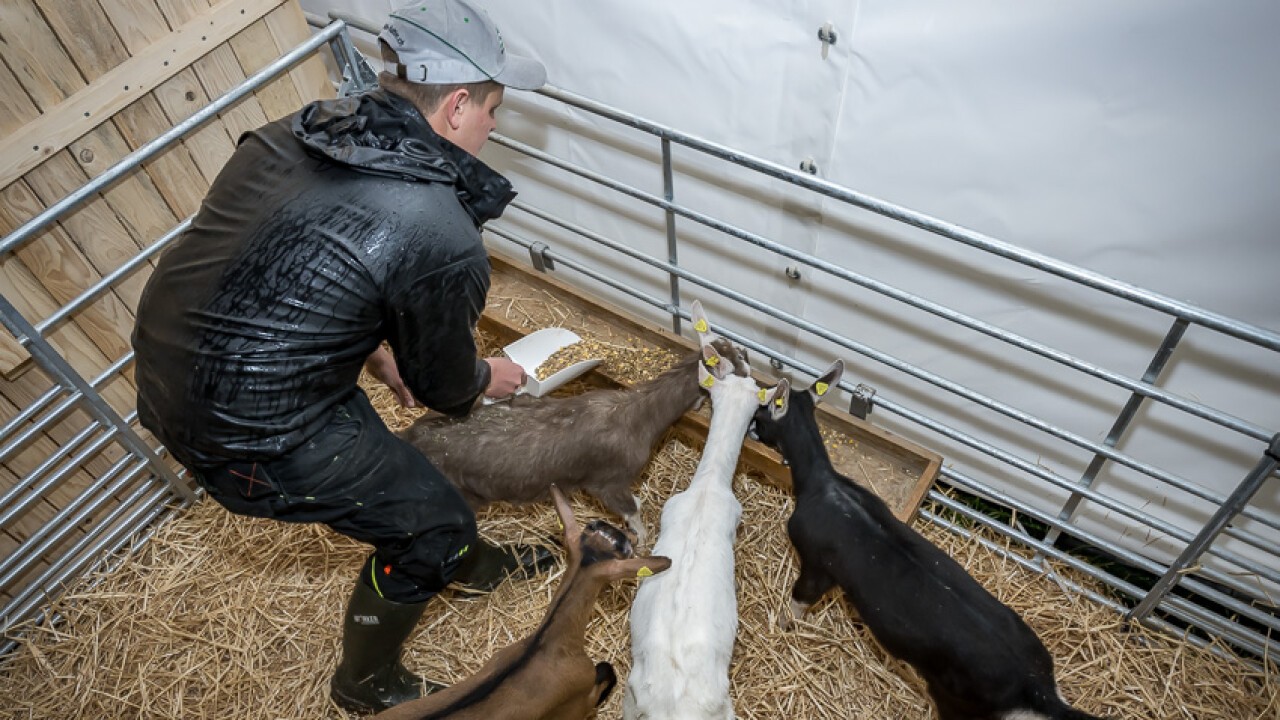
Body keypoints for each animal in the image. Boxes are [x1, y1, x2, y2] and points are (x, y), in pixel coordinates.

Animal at [371, 481, 670, 717]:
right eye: (625, 549)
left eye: (595, 525)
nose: (631, 535)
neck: (547, 642)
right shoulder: (580, 701)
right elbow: (605, 672)